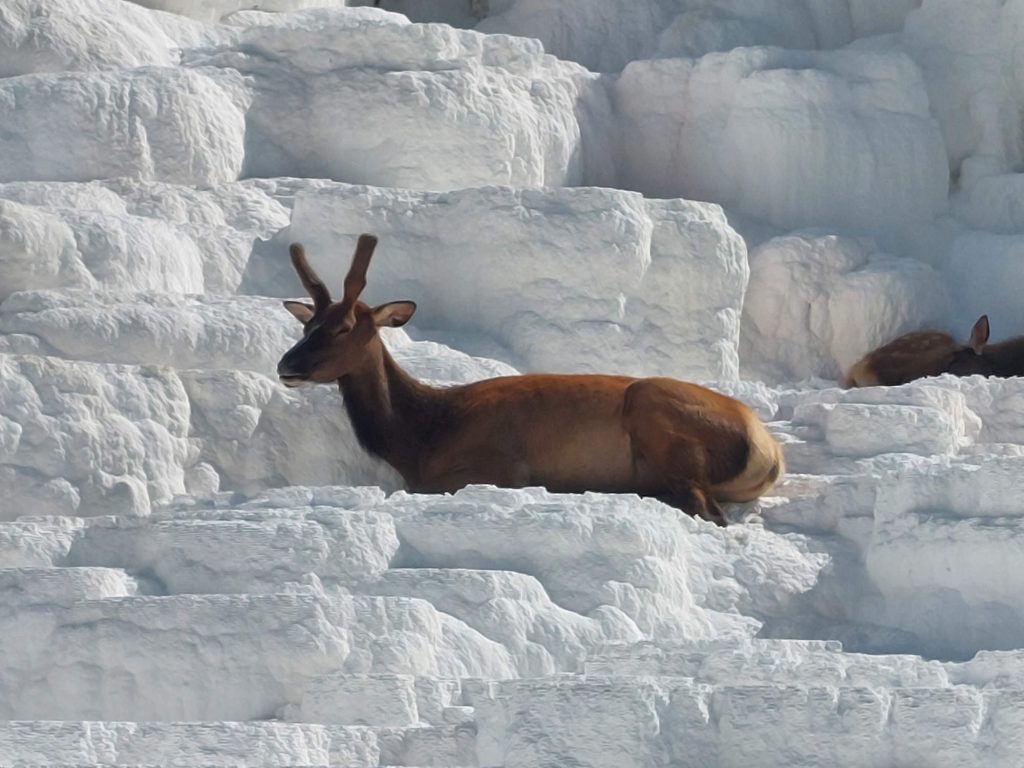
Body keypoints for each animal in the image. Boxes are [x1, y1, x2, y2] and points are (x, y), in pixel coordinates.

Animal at [276, 234, 786, 528]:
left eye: (343, 327)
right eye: (307, 325)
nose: (286, 366)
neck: (421, 436)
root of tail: (769, 453)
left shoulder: (496, 467)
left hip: (656, 411)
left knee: (711, 512)